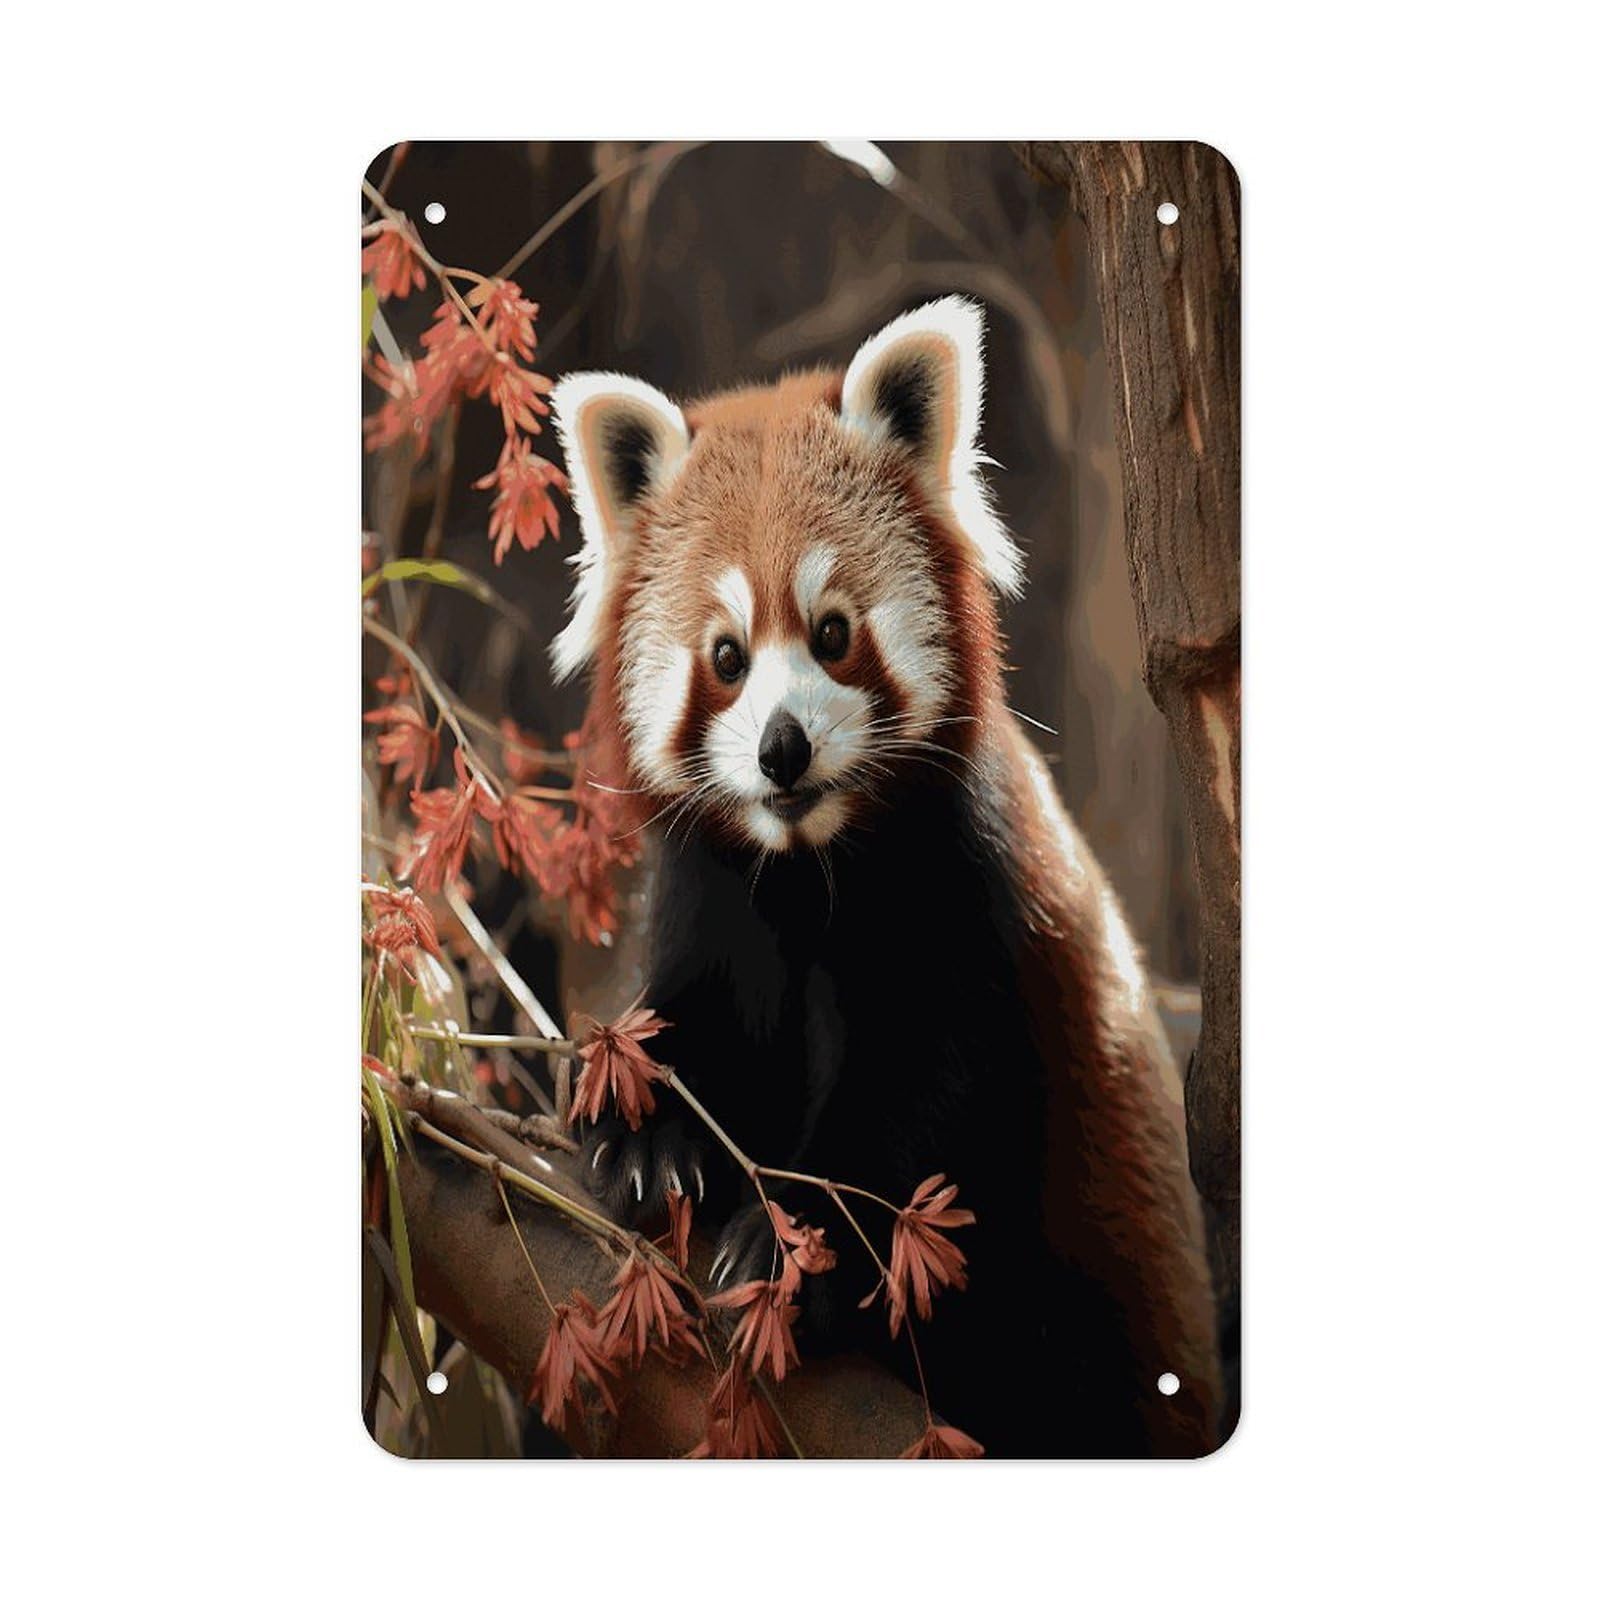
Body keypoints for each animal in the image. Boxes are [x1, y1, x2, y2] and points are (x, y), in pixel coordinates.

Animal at [548, 298, 1220, 1457]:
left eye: (831, 633)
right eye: (725, 656)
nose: (783, 750)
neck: (809, 869)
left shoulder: (967, 894)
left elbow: (921, 1101)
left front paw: (793, 1247)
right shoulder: (710, 898)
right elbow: (685, 1016)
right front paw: (647, 1136)